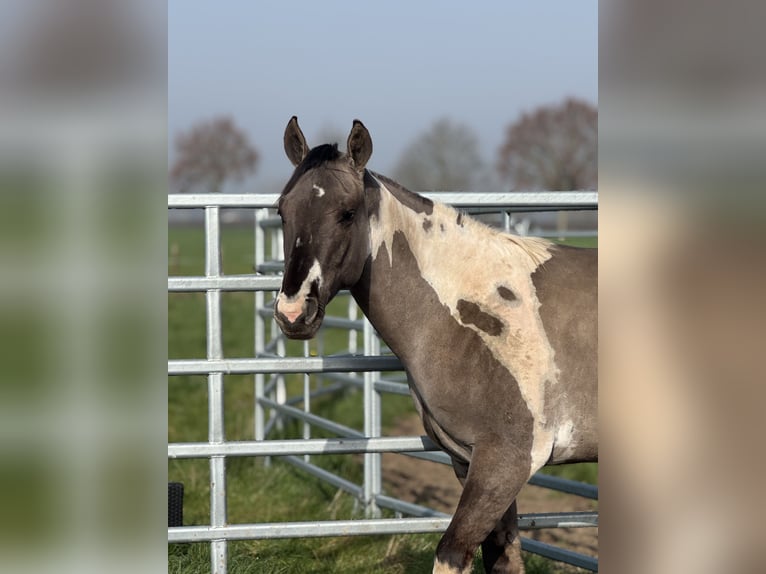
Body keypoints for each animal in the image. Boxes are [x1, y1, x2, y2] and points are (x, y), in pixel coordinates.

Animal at [273, 117, 597, 574]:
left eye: (347, 213)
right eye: (282, 211)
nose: (293, 312)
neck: (477, 307)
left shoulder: (506, 461)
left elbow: (451, 552)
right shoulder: (470, 462)